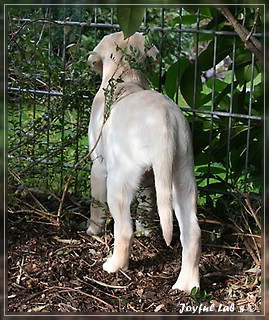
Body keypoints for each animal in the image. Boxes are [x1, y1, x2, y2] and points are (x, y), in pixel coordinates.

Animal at [87, 31, 200, 294]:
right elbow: (147, 207)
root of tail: (164, 121)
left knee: (124, 230)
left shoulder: (98, 167)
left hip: (118, 182)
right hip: (181, 177)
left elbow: (96, 206)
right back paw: (187, 285)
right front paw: (146, 231)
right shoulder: (149, 179)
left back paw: (114, 266)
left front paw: (92, 229)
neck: (125, 78)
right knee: (192, 232)